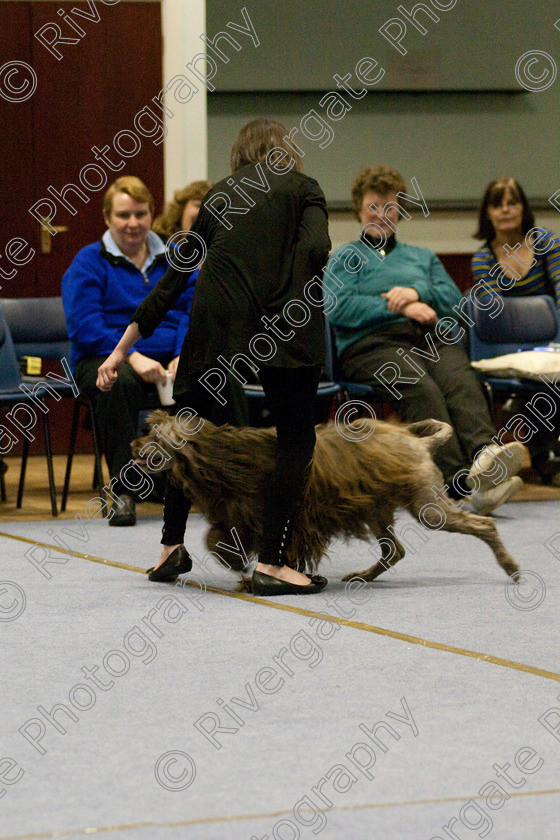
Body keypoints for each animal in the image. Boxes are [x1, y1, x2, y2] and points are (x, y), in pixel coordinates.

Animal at [132, 408, 520, 580]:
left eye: (153, 436)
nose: (133, 444)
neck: (217, 456)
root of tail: (417, 441)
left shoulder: (278, 517)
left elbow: (234, 541)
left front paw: (257, 568)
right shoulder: (236, 516)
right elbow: (214, 538)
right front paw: (235, 561)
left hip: (429, 507)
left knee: (484, 526)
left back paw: (510, 565)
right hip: (378, 509)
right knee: (394, 550)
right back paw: (365, 576)